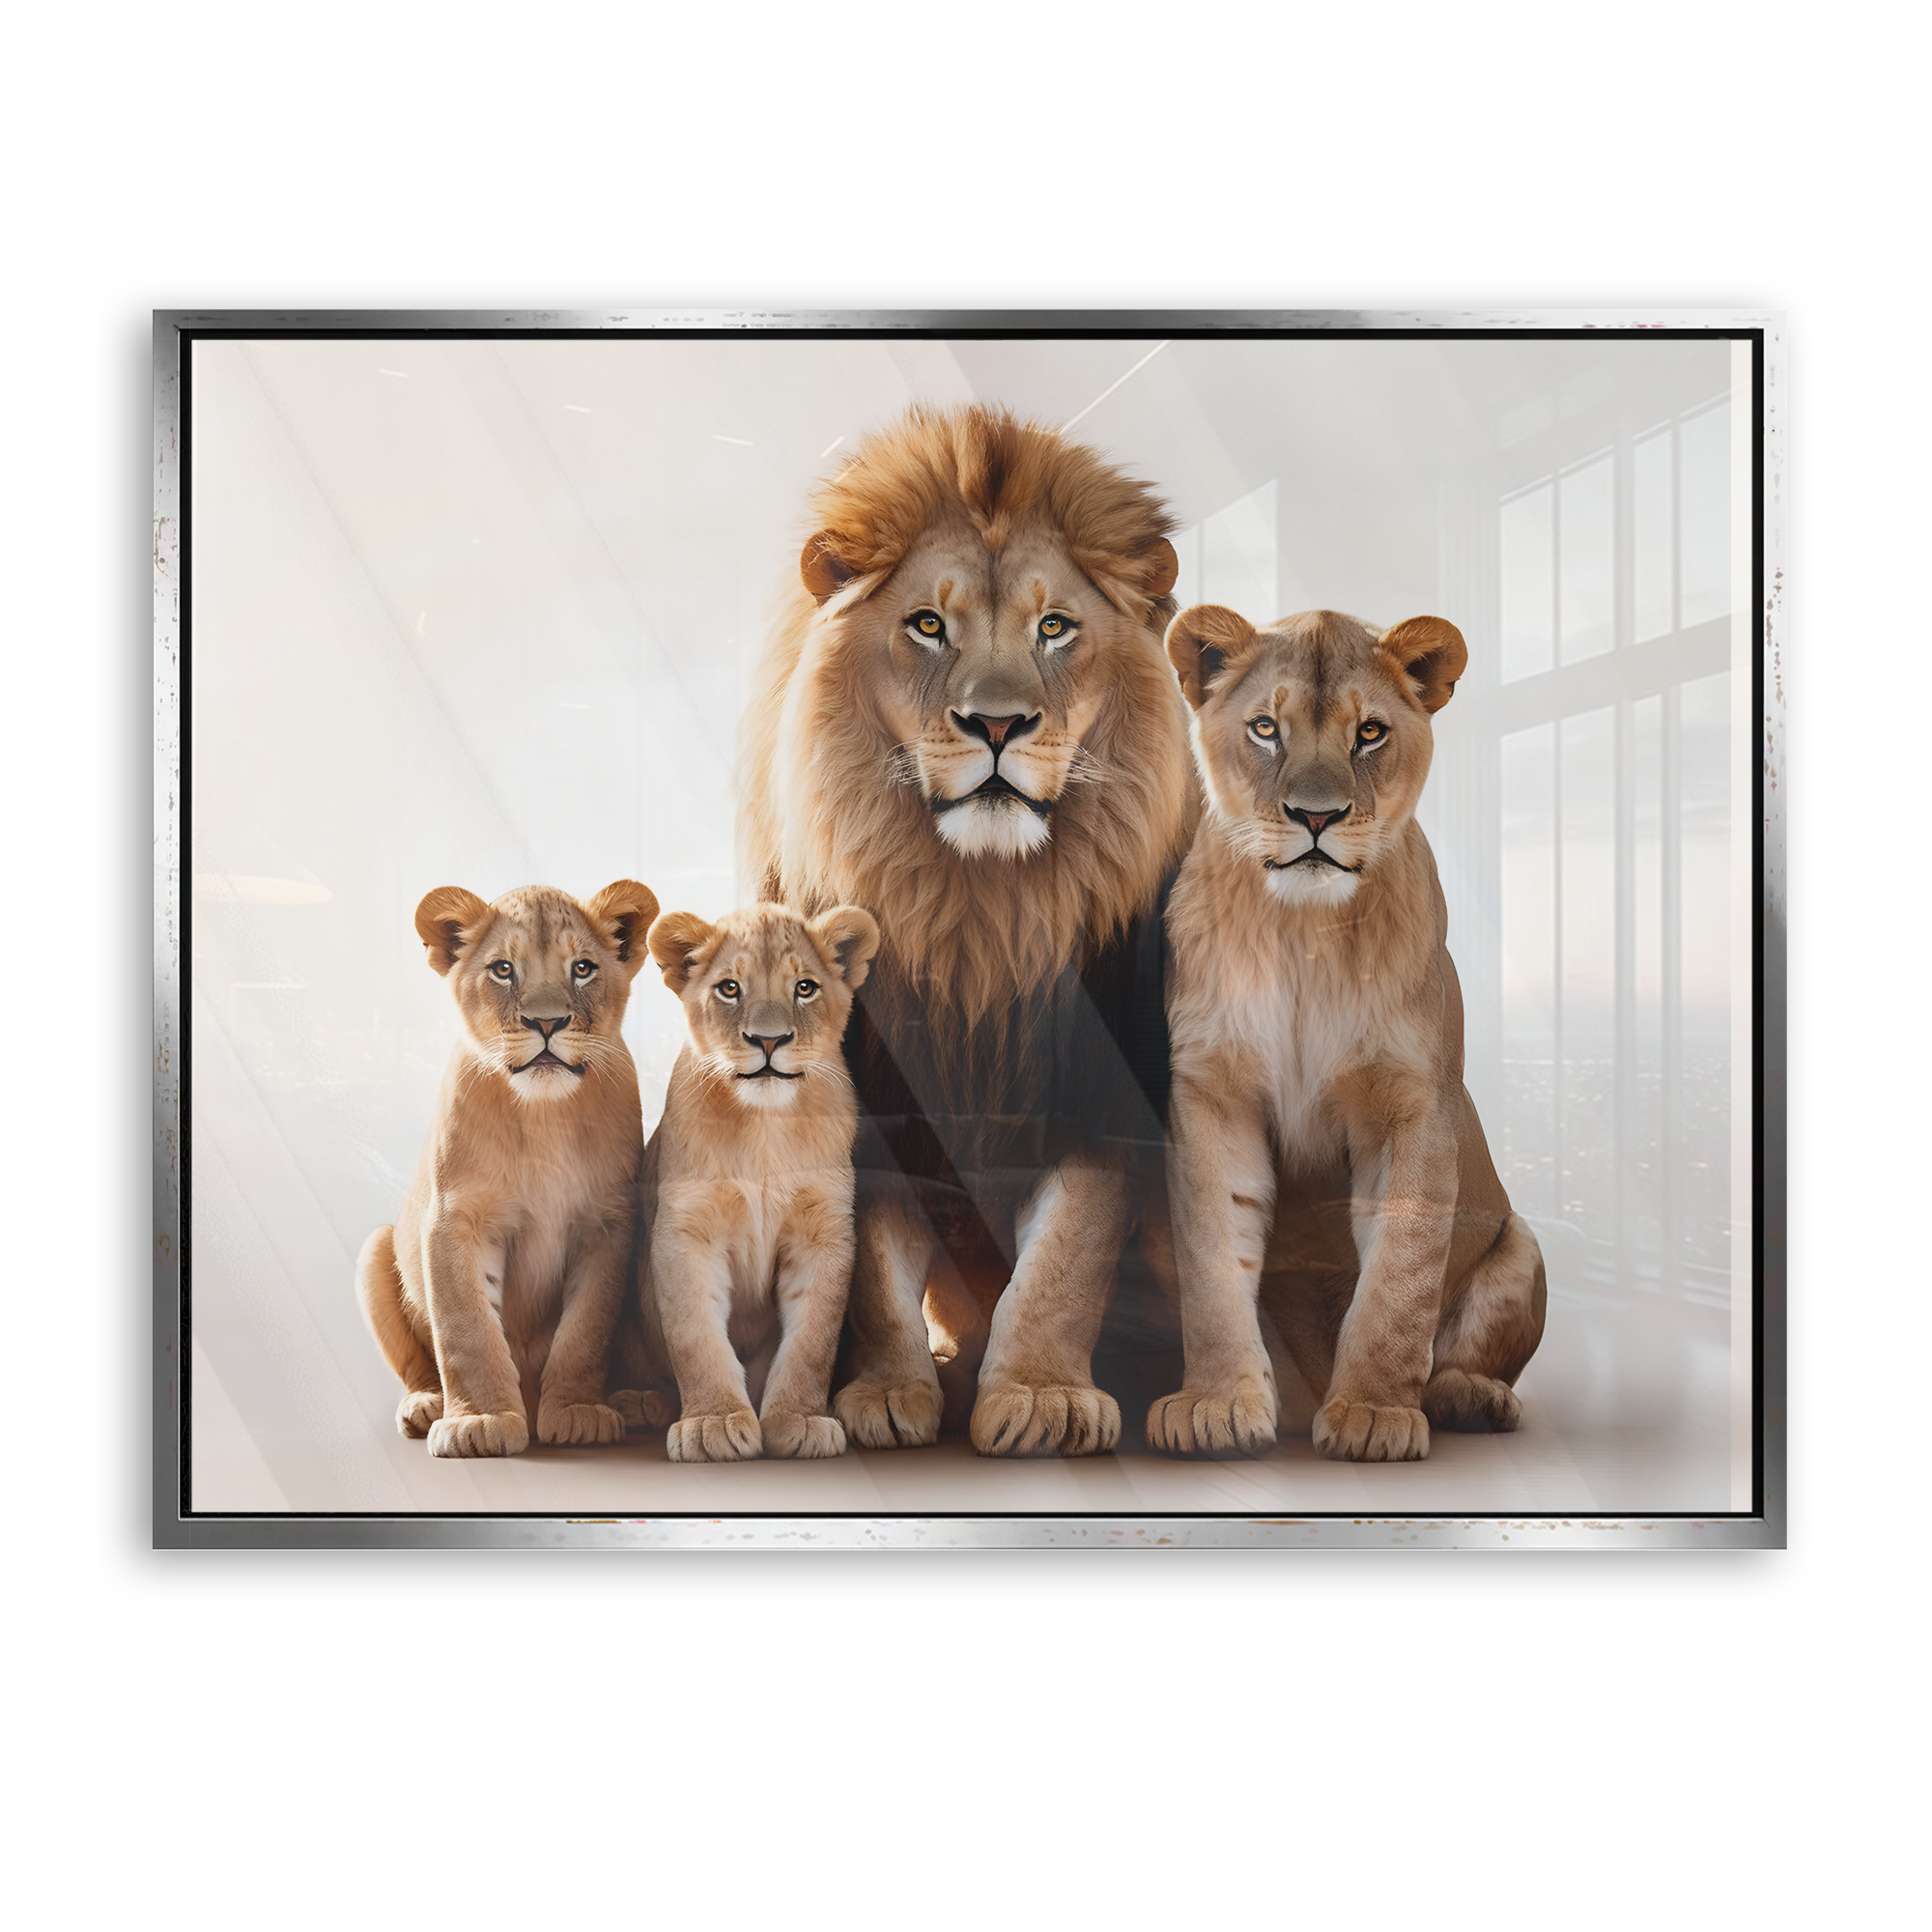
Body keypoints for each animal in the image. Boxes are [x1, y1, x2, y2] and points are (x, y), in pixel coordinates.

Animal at [354, 878, 659, 1458]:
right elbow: (467, 1328)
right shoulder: (455, 1218)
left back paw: (634, 1403)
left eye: (582, 968)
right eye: (502, 969)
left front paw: (579, 1413)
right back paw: (425, 1405)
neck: (543, 1115)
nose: (547, 1022)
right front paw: (480, 1421)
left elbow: (585, 1331)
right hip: (375, 1247)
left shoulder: (608, 1222)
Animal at [603, 901, 881, 1462]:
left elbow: (813, 1339)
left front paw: (799, 1419)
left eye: (805, 987)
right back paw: (640, 1402)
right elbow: (697, 1337)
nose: (768, 1040)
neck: (765, 1129)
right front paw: (711, 1423)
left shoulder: (823, 1232)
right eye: (730, 988)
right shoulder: (686, 1231)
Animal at [739, 403, 1193, 1457]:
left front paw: (1040, 1395)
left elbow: (1066, 1253)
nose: (997, 724)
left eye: (1054, 626)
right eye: (928, 624)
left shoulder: (1103, 1094)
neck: (976, 913)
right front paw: (884, 1391)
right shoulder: (871, 1094)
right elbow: (870, 1264)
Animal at [1149, 606, 1546, 1462]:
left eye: (1369, 733)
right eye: (1266, 728)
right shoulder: (1212, 1094)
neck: (1304, 932)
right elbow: (1211, 1259)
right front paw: (1216, 1404)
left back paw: (1469, 1396)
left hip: (1521, 1244)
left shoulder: (1415, 1104)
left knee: (1468, 1349)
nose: (1316, 816)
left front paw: (1371, 1412)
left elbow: (1400, 1275)